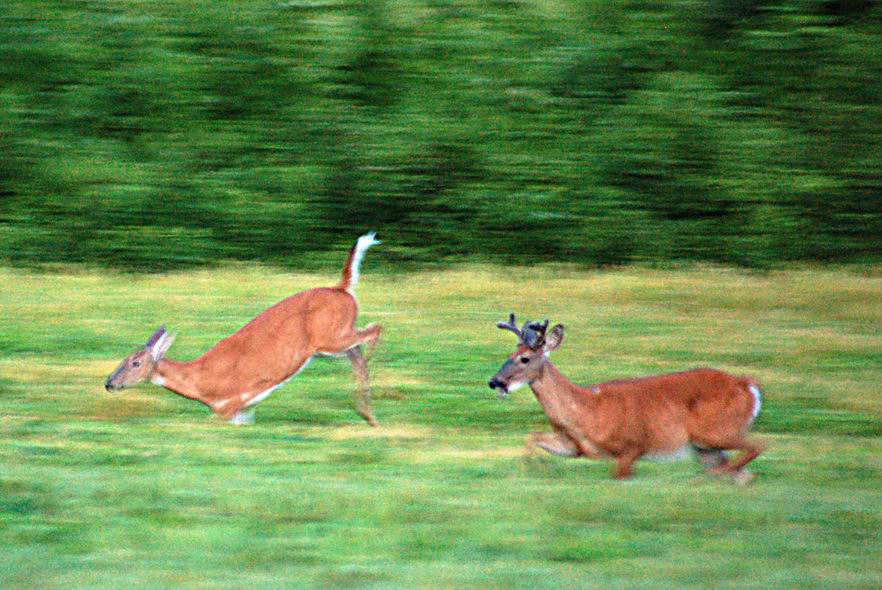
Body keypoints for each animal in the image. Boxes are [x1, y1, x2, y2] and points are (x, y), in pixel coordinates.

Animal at [104, 234, 382, 428]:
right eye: (122, 359)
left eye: (135, 362)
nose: (109, 383)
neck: (201, 383)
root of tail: (342, 288)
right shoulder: (244, 412)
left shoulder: (230, 406)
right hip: (332, 343)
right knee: (358, 352)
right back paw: (368, 416)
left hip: (331, 338)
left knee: (374, 330)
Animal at [488, 316, 764, 484]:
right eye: (509, 354)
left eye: (524, 358)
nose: (494, 381)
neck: (585, 410)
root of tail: (748, 386)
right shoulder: (575, 446)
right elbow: (533, 438)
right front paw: (529, 470)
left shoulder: (631, 446)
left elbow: (619, 476)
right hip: (705, 447)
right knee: (744, 474)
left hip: (716, 430)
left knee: (757, 445)